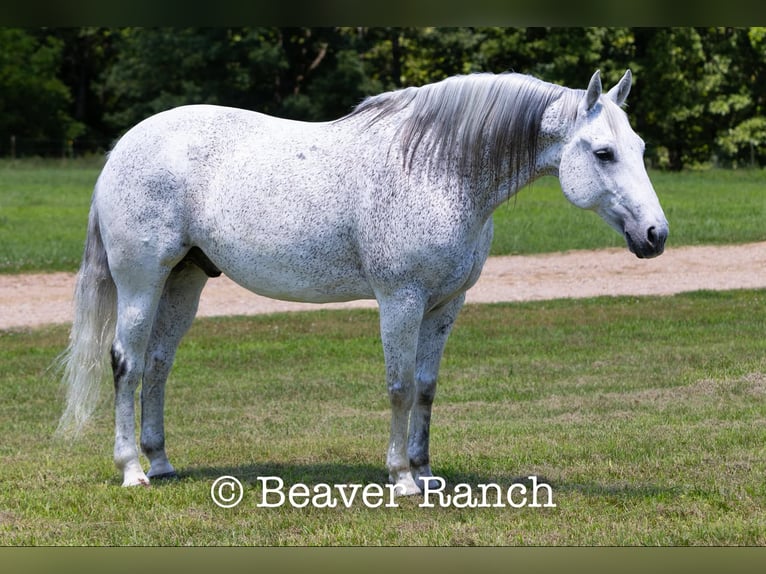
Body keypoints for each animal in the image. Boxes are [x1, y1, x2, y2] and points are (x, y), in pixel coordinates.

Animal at [57, 69, 668, 493]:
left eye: (638, 148)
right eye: (603, 152)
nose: (655, 234)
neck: (436, 169)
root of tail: (123, 147)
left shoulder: (445, 305)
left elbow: (426, 387)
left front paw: (427, 473)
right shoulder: (401, 300)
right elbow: (399, 385)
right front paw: (401, 479)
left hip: (185, 281)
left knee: (158, 365)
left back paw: (161, 462)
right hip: (142, 281)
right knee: (127, 363)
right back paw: (132, 470)